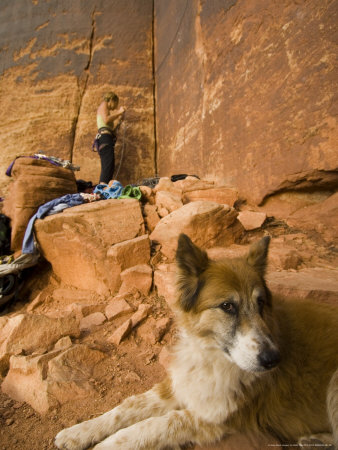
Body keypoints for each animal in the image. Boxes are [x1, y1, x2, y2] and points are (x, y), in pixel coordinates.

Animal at [55, 234, 338, 448]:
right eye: (227, 306)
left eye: (260, 303)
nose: (273, 360)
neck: (211, 354)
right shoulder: (181, 384)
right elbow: (127, 406)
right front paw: (80, 431)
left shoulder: (215, 417)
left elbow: (154, 425)